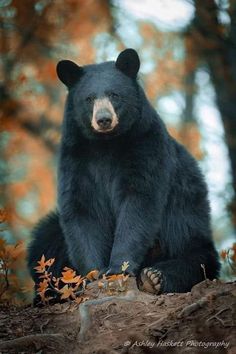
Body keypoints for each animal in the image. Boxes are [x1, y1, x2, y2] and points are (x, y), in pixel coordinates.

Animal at [27, 47, 219, 296]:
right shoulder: (76, 158)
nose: (103, 119)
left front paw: (117, 268)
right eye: (89, 98)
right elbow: (82, 209)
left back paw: (154, 277)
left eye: (114, 95)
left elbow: (138, 203)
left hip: (187, 223)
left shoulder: (146, 146)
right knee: (45, 241)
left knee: (197, 257)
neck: (106, 144)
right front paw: (93, 274)